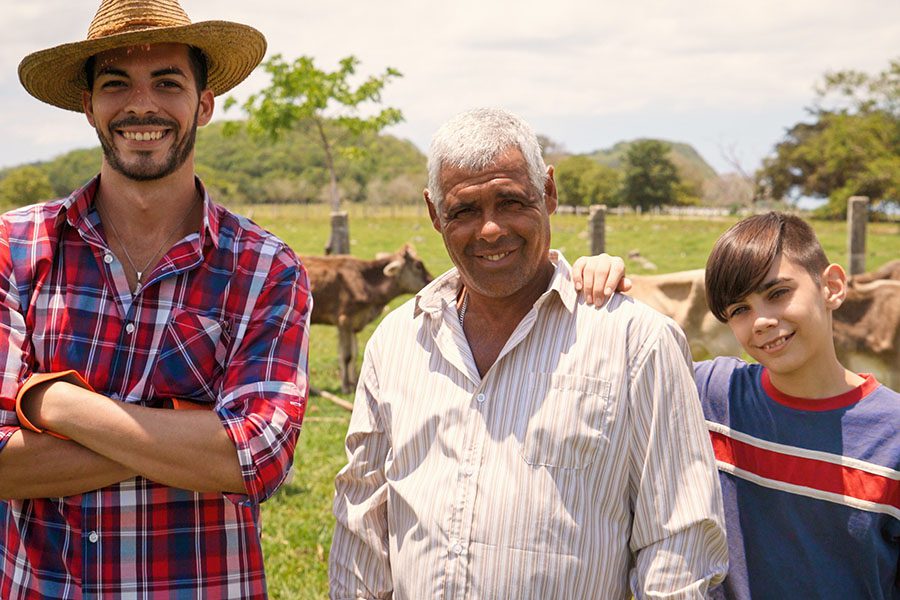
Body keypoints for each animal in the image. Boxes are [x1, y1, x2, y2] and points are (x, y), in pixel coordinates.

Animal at [302, 245, 432, 394]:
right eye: (418, 265)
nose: (431, 280)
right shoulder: (344, 319)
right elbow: (346, 356)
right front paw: (346, 387)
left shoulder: (353, 322)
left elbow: (353, 353)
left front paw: (353, 384)